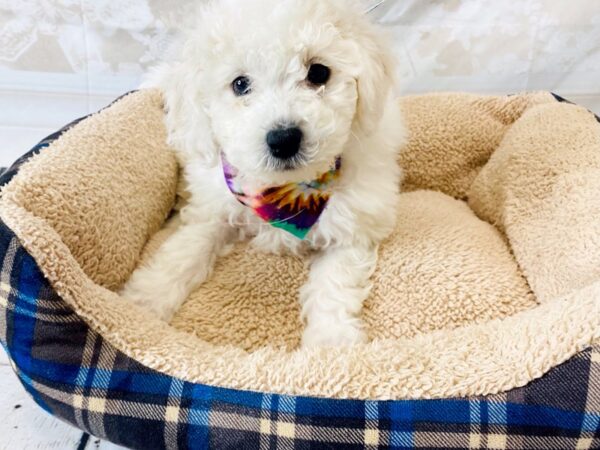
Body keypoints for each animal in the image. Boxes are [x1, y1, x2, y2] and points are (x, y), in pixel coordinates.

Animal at [120, 0, 406, 348]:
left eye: (318, 72)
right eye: (240, 84)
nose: (284, 139)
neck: (285, 193)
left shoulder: (354, 225)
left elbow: (335, 283)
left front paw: (330, 342)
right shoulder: (215, 208)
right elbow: (187, 249)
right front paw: (145, 301)